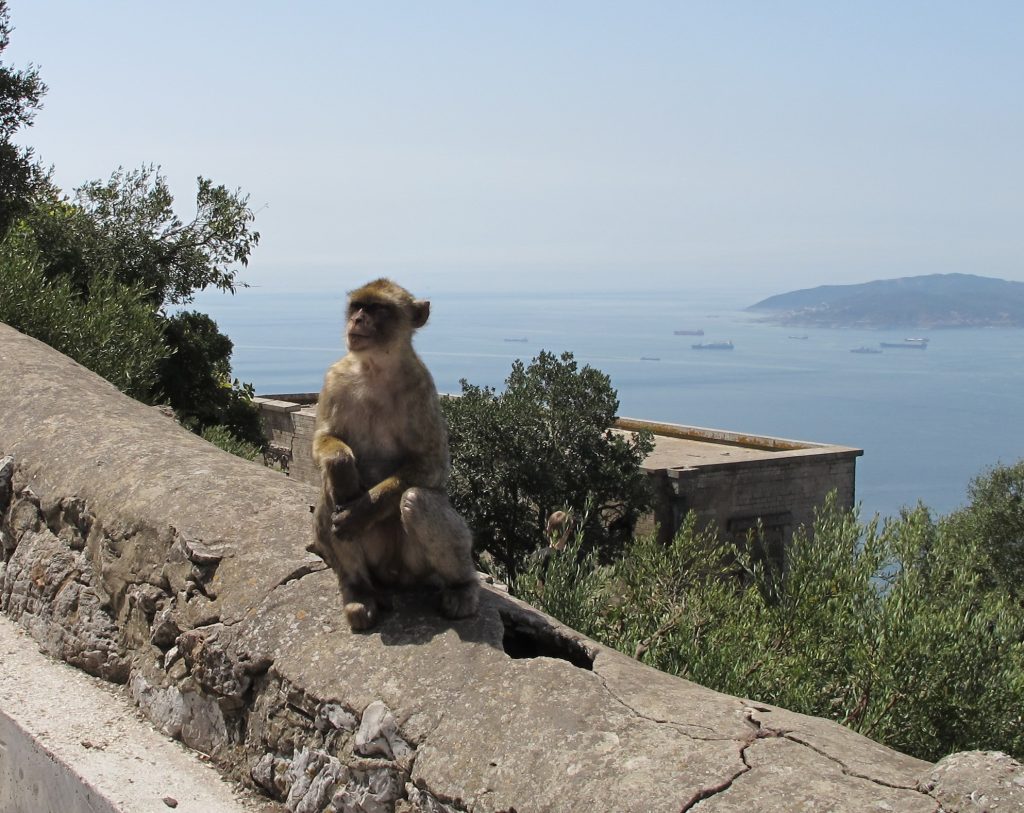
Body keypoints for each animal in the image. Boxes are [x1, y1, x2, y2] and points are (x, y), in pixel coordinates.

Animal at [307, 276, 479, 630]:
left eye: (377, 309)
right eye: (358, 306)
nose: (357, 320)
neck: (375, 367)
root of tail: (390, 577)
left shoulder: (423, 388)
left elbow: (433, 465)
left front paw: (362, 511)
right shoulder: (335, 378)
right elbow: (324, 440)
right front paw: (341, 465)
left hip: (414, 569)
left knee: (417, 499)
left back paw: (462, 587)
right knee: (329, 494)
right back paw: (359, 592)